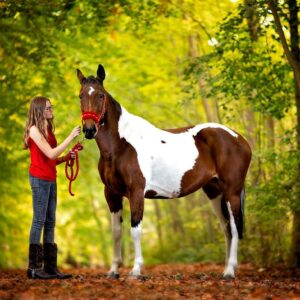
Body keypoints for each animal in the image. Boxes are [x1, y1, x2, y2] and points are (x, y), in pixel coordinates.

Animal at [77, 64, 251, 280]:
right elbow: (116, 232)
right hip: (215, 193)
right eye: (81, 96)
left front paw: (136, 270)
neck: (121, 145)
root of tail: (240, 139)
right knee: (226, 228)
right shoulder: (111, 194)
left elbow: (135, 230)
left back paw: (229, 271)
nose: (89, 130)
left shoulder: (136, 191)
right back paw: (226, 268)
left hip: (231, 192)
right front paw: (113, 270)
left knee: (234, 227)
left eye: (100, 95)